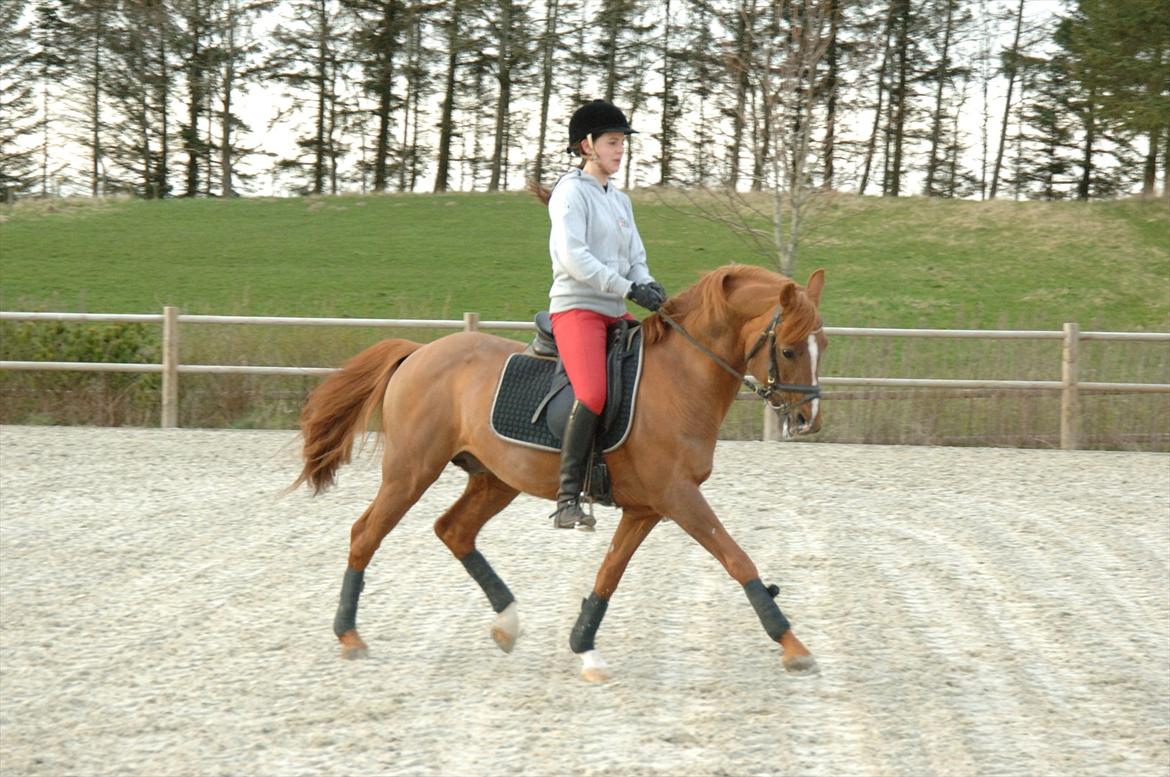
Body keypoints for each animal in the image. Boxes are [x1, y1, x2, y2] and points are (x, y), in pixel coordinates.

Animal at [293, 264, 827, 682]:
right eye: (790, 349)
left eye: (821, 343)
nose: (807, 420)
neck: (680, 377)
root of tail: (420, 351)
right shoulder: (678, 497)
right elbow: (737, 559)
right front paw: (793, 645)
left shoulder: (647, 508)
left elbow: (608, 575)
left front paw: (584, 647)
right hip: (411, 471)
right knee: (366, 533)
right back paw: (349, 636)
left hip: (495, 479)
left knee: (454, 530)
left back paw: (507, 623)